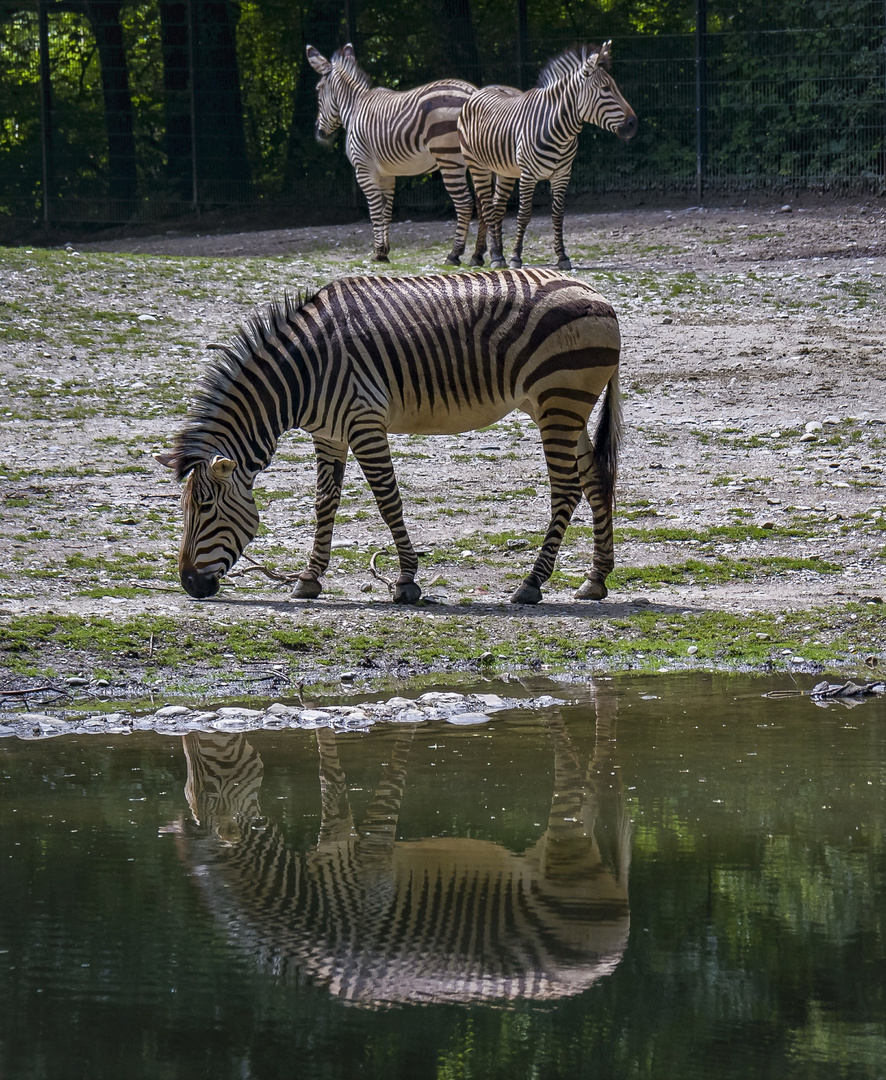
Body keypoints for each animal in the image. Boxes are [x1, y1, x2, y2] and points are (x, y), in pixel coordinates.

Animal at [154, 267, 622, 609]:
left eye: (204, 507)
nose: (189, 584)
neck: (303, 375)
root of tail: (597, 293)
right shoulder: (329, 434)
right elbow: (325, 503)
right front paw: (308, 579)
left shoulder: (364, 421)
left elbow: (386, 499)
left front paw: (406, 582)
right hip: (562, 406)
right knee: (595, 478)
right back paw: (595, 580)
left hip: (558, 400)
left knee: (566, 489)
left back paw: (532, 583)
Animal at [172, 686, 631, 1006]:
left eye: (206, 780)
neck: (309, 900)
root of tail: (610, 960)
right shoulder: (336, 841)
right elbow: (329, 775)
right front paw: (319, 716)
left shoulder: (372, 865)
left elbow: (392, 767)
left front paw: (407, 716)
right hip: (561, 852)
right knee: (593, 790)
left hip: (563, 852)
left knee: (579, 777)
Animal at [304, 42, 484, 265]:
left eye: (318, 91)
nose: (319, 133)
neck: (354, 108)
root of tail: (472, 92)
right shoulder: (387, 173)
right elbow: (386, 210)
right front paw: (384, 251)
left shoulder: (364, 169)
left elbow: (375, 211)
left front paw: (378, 252)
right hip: (477, 159)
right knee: (484, 202)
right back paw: (478, 255)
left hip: (448, 158)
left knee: (465, 202)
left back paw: (454, 254)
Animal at [455, 44, 635, 274]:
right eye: (605, 89)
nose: (633, 124)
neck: (558, 129)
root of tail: (480, 90)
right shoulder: (528, 175)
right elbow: (524, 214)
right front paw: (516, 257)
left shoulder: (562, 175)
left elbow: (558, 214)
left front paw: (562, 256)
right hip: (477, 165)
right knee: (487, 208)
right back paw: (494, 256)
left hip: (504, 170)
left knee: (497, 207)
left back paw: (493, 254)